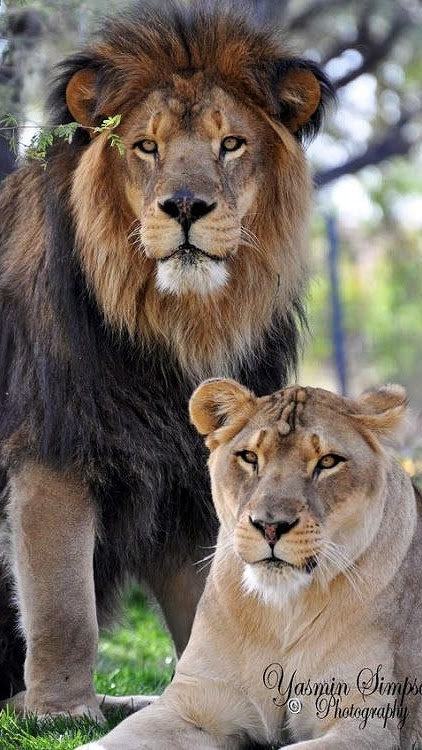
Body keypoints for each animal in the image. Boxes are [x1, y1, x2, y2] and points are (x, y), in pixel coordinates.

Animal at [0, 1, 333, 719]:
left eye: (230, 144)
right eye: (146, 147)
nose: (184, 205)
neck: (177, 329)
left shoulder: (189, 470)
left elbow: (214, 600)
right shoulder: (52, 445)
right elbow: (62, 606)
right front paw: (62, 713)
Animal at [77, 379, 422, 750]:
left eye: (328, 461)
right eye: (249, 457)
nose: (271, 526)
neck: (282, 612)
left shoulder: (366, 725)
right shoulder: (191, 703)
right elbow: (105, 743)